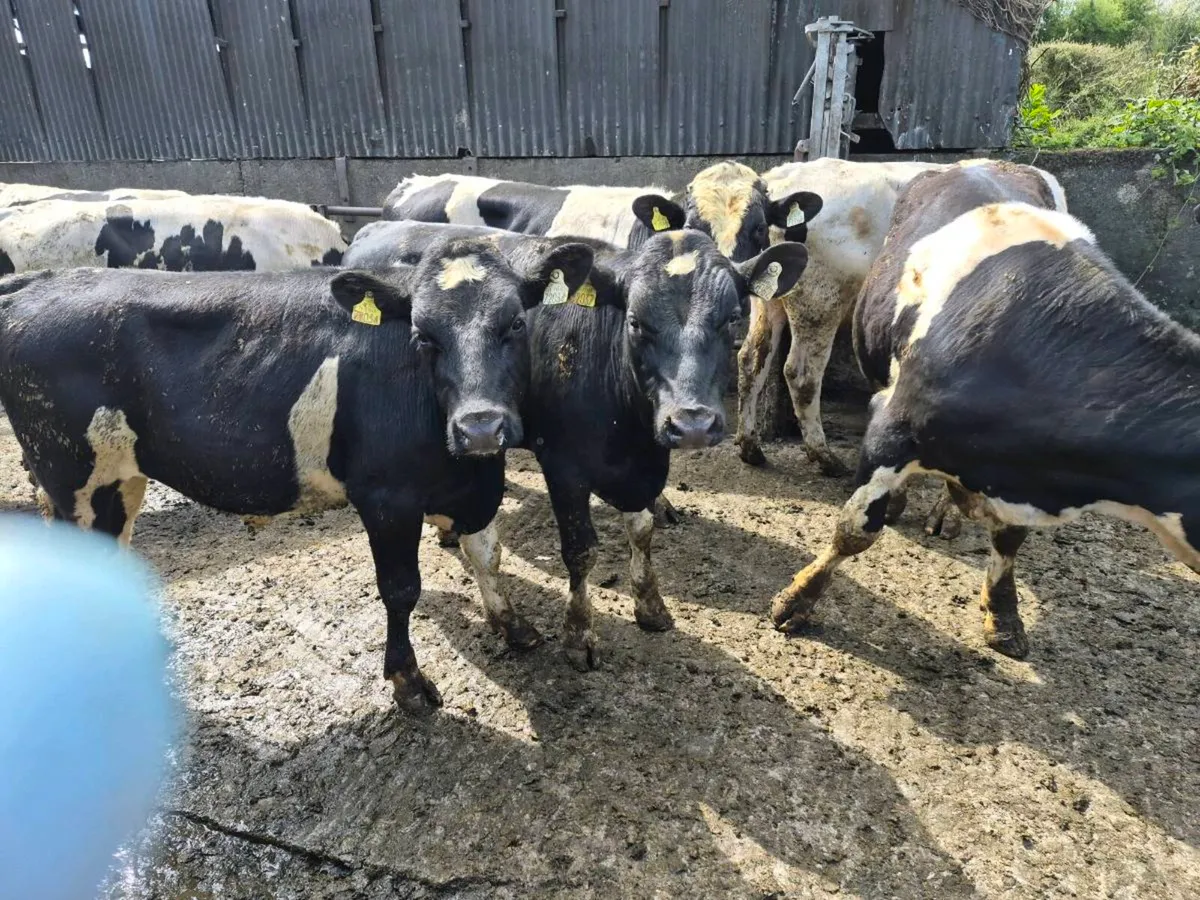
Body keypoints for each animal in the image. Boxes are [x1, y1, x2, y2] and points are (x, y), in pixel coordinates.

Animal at [0, 235, 594, 713]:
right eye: (424, 336)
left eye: (515, 322)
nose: (479, 427)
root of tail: (40, 281)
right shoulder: (387, 497)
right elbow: (401, 589)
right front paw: (407, 682)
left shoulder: (474, 484)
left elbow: (486, 554)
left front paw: (513, 625)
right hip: (72, 476)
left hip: (115, 478)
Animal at [347, 219, 812, 670]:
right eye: (635, 322)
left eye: (732, 318)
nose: (692, 423)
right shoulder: (563, 466)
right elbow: (580, 550)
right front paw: (578, 635)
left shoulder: (642, 469)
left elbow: (642, 532)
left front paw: (650, 606)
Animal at [735, 158, 1068, 486]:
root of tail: (786, 177)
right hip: (821, 296)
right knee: (802, 373)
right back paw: (825, 457)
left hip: (769, 295)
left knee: (752, 357)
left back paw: (751, 447)